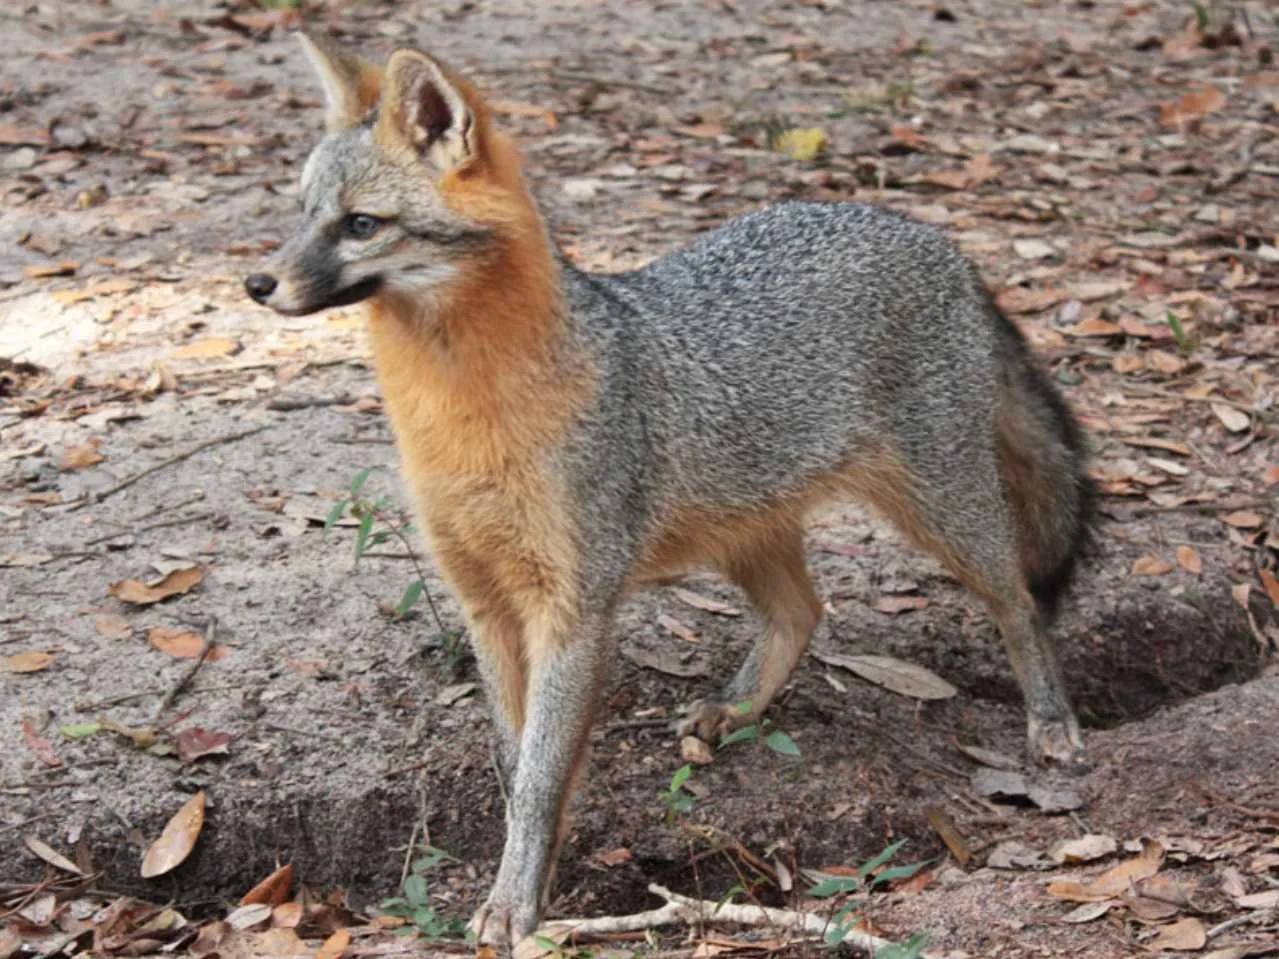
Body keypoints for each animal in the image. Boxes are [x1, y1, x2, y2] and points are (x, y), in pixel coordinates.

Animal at [244, 30, 1094, 956]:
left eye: (360, 224)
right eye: (300, 213)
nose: (258, 285)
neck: (465, 415)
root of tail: (932, 237)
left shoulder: (572, 606)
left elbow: (540, 772)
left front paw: (517, 901)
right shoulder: (485, 602)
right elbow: (515, 763)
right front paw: (529, 872)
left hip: (941, 511)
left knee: (1017, 600)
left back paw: (1051, 719)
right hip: (745, 532)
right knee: (803, 610)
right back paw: (733, 707)